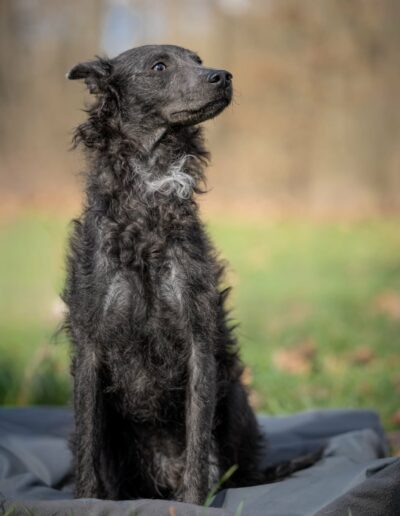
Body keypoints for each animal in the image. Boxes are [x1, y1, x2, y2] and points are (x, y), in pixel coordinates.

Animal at [63, 44, 319, 505]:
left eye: (198, 60)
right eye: (158, 66)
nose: (224, 76)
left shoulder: (199, 343)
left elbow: (200, 445)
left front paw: (193, 503)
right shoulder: (90, 347)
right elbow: (89, 447)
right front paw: (87, 501)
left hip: (235, 398)